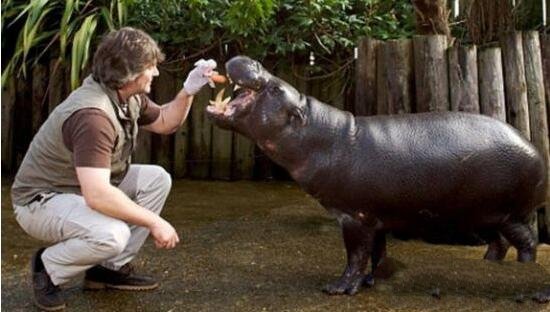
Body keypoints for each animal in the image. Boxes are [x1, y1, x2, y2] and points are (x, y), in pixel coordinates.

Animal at [205, 55, 548, 294]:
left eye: (276, 87)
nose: (252, 61)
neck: (320, 134)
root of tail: (533, 147)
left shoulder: (355, 216)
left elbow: (356, 256)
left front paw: (338, 289)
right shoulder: (378, 216)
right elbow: (377, 253)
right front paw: (373, 280)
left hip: (509, 213)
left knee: (528, 241)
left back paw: (523, 271)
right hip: (482, 214)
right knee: (499, 242)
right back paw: (488, 265)